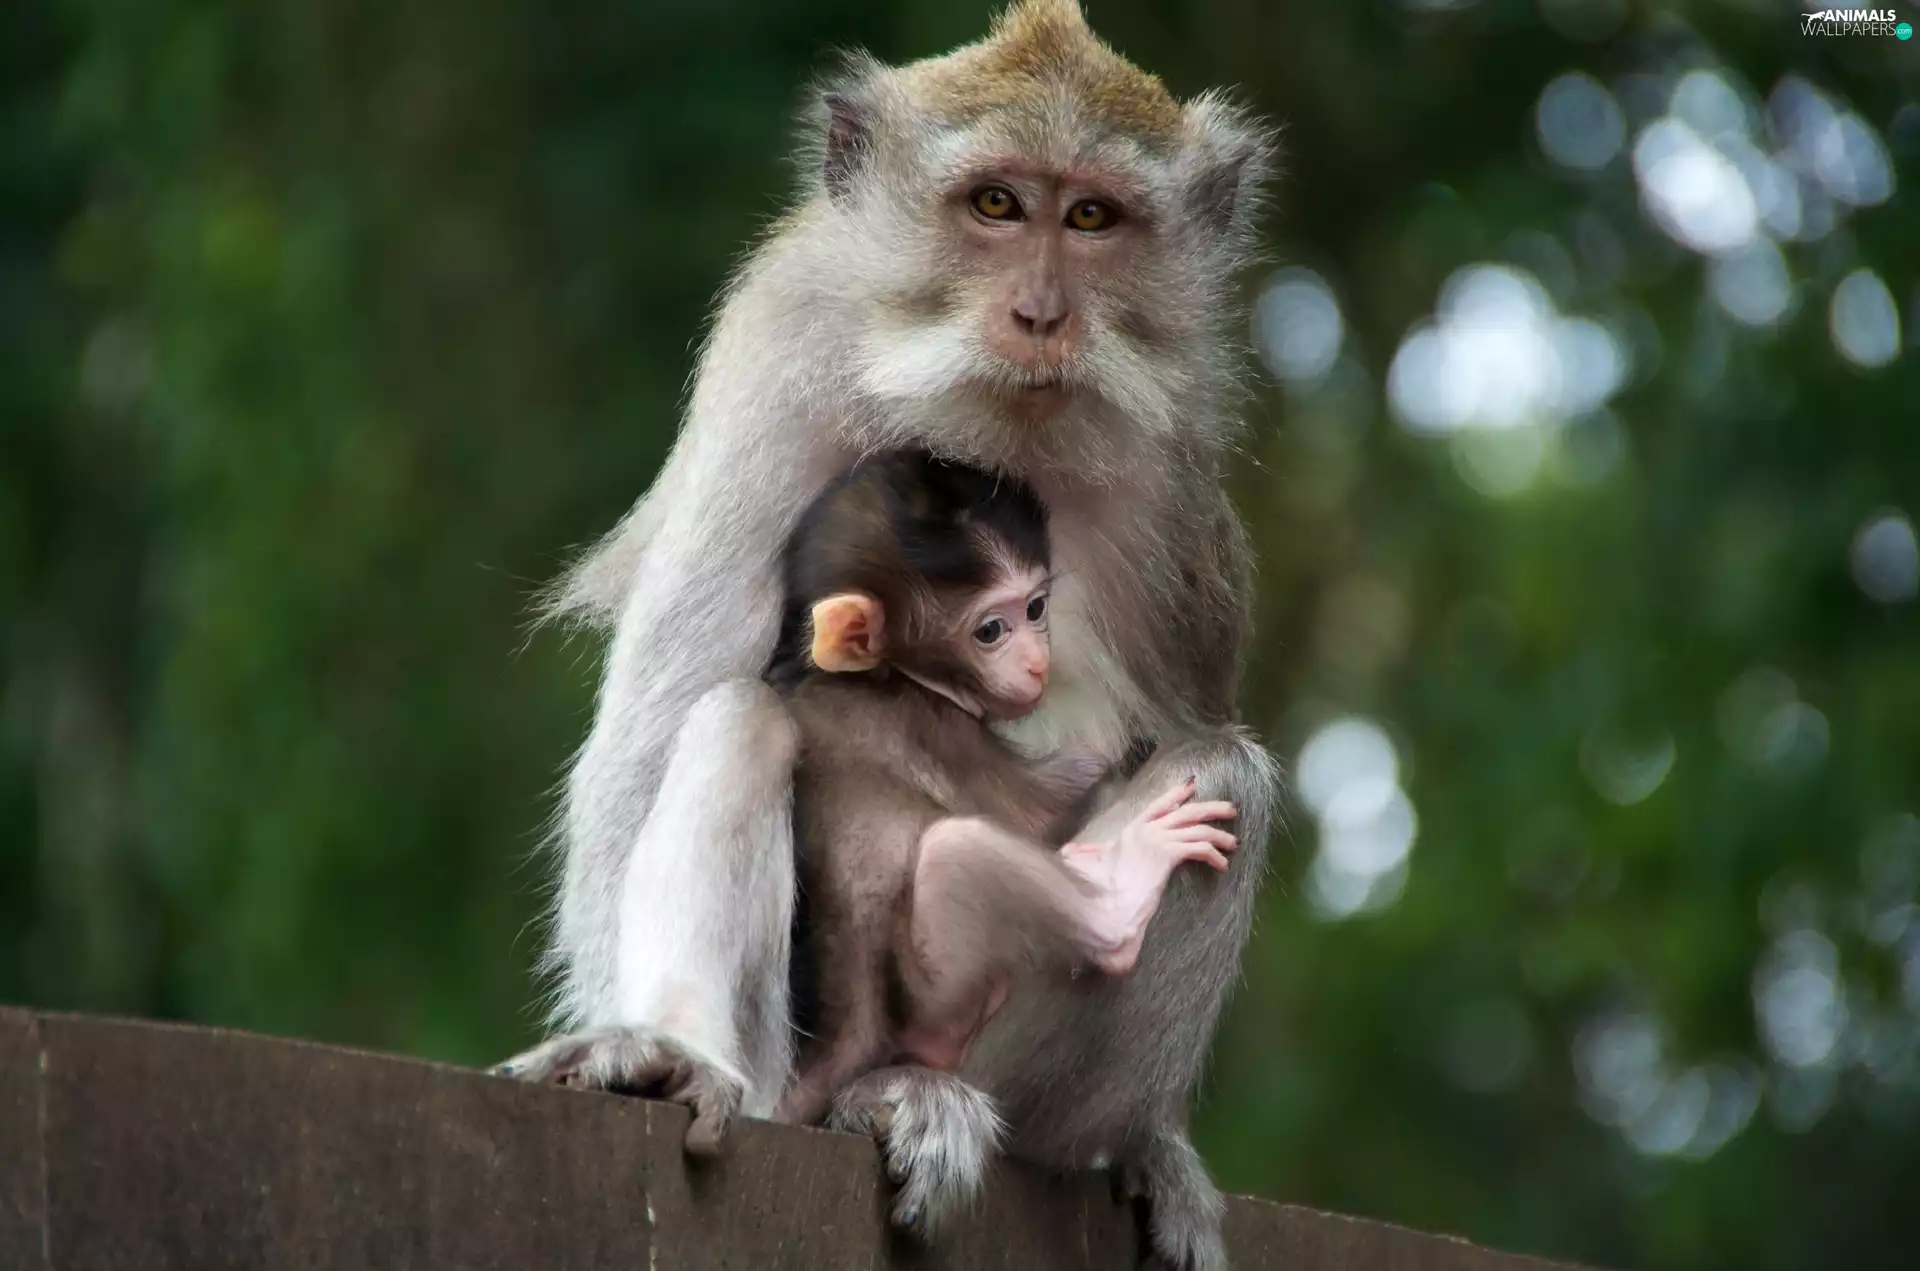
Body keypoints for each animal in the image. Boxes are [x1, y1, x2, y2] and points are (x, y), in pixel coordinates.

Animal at [764, 449, 1239, 1129]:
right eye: (990, 631)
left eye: (1036, 609)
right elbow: (1042, 805)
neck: (890, 675)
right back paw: (1120, 899)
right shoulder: (940, 730)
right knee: (957, 850)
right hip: (939, 1007)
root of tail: (846, 1042)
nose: (1038, 663)